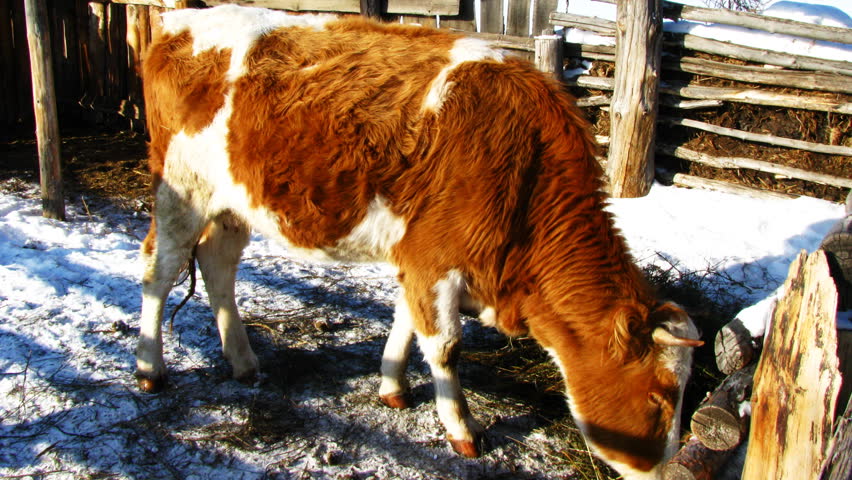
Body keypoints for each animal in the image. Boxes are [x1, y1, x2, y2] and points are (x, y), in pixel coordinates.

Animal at [135, 5, 703, 479]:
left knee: (218, 267)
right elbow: (445, 345)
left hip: (233, 204)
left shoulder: (421, 260)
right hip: (180, 189)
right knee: (158, 271)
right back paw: (149, 369)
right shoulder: (434, 257)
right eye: (660, 400)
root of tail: (179, 21)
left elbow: (407, 319)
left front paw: (392, 387)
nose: (670, 472)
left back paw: (243, 361)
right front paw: (462, 430)